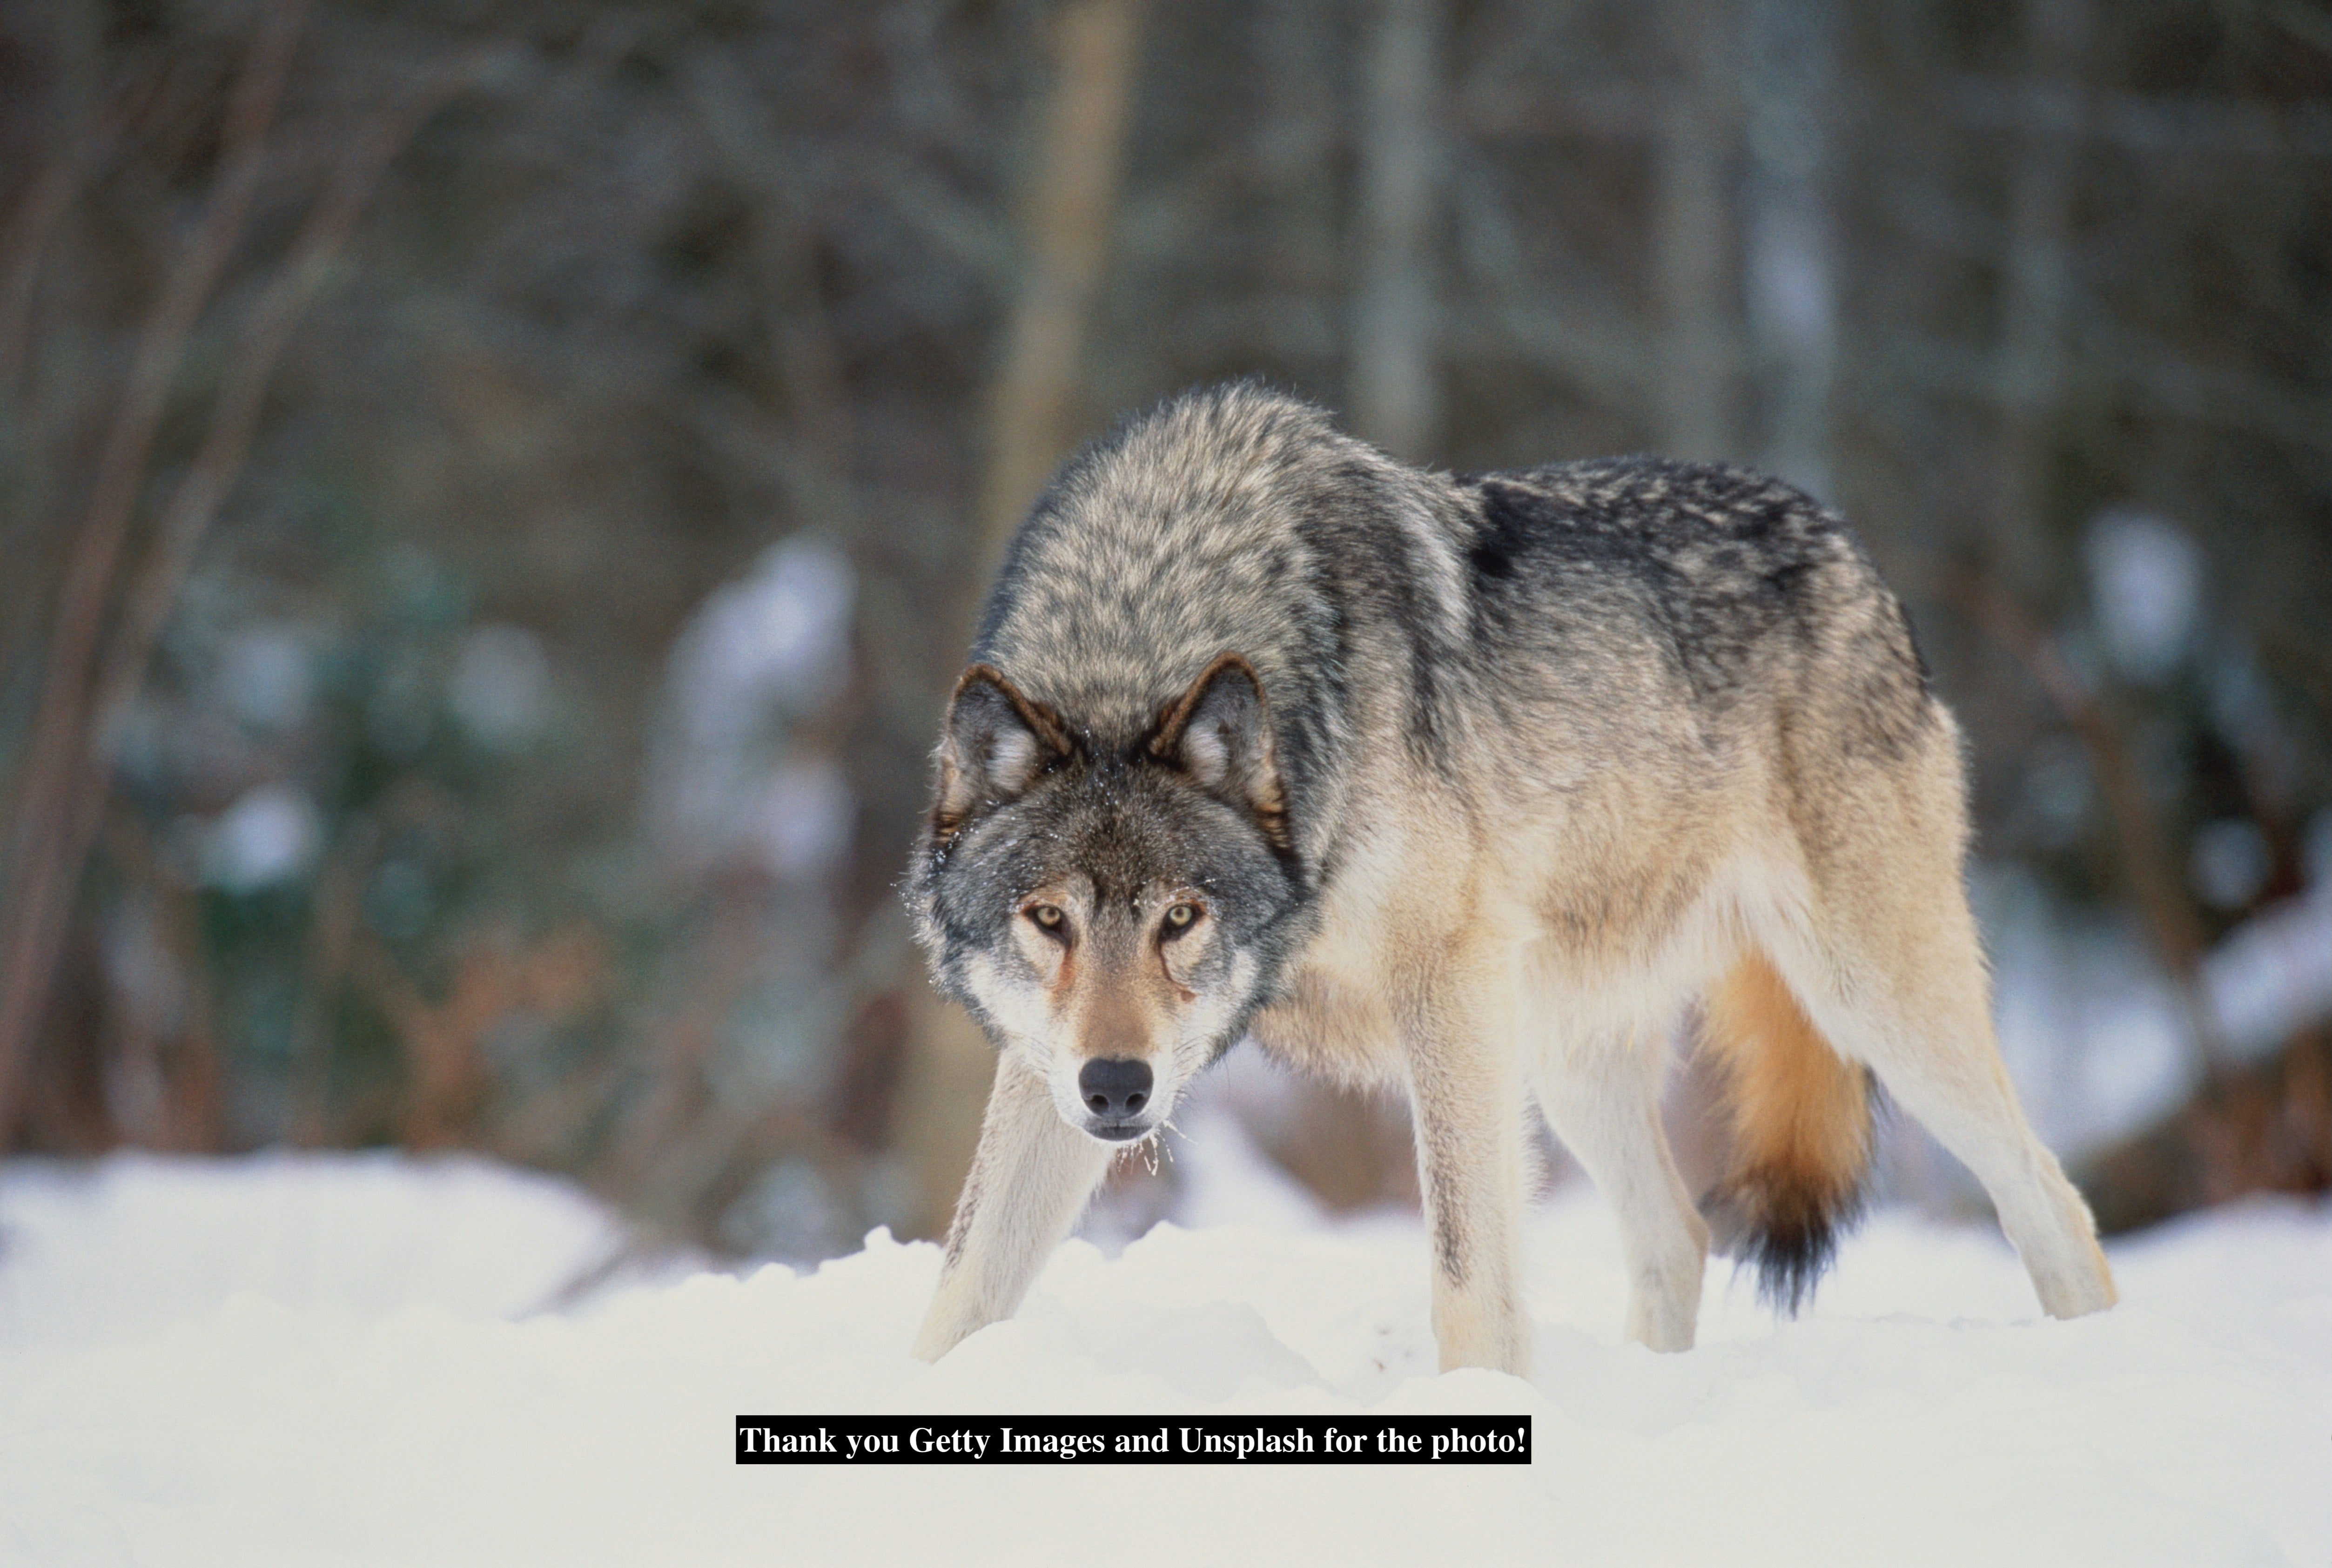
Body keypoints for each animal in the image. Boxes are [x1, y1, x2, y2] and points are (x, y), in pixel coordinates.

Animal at [906, 383, 2115, 1375]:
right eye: (1048, 919)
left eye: (1180, 917)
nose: (1118, 1087)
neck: (1152, 613)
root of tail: (1845, 542)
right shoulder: (1045, 1063)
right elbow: (961, 1284)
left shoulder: (1445, 987)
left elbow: (1465, 1275)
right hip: (1564, 1053)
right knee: (1677, 1239)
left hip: (1869, 1004)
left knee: (2053, 1204)